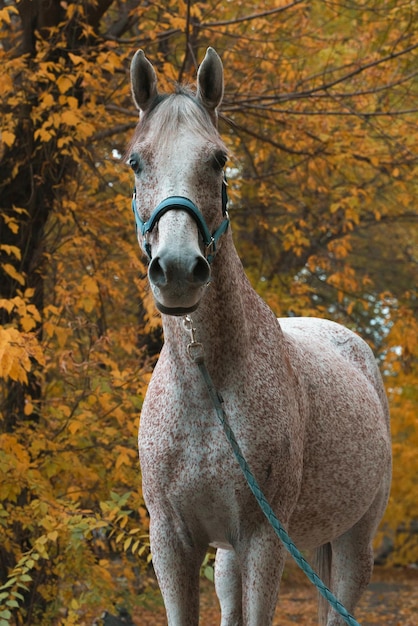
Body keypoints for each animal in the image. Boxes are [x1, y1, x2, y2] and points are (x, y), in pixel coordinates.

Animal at [126, 46, 392, 620]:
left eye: (219, 160)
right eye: (135, 161)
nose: (177, 270)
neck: (207, 383)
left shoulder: (264, 540)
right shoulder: (173, 543)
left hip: (353, 544)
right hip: (230, 559)